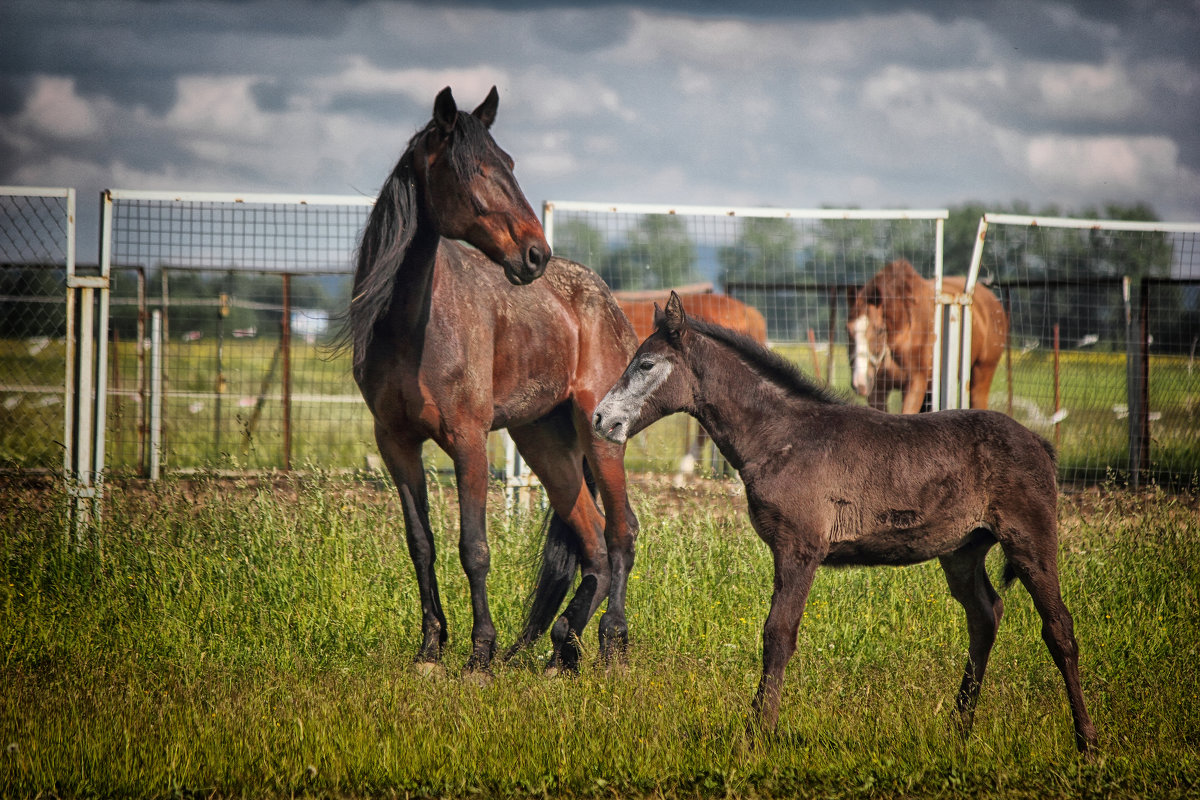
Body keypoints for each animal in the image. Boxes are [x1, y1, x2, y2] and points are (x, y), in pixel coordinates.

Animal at [348, 86, 643, 676]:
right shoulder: (394, 442)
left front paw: (479, 654)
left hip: (601, 435)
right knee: (595, 545)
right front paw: (431, 649)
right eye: (476, 170)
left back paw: (611, 643)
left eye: (508, 163)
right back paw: (559, 649)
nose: (534, 254)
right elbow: (422, 544)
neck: (411, 326)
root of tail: (607, 301)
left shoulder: (468, 440)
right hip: (544, 444)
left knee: (622, 533)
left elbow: (474, 547)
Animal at [849, 261, 1008, 412]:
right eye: (848, 330)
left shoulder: (916, 384)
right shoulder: (877, 391)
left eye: (880, 330)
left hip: (981, 375)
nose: (860, 383)